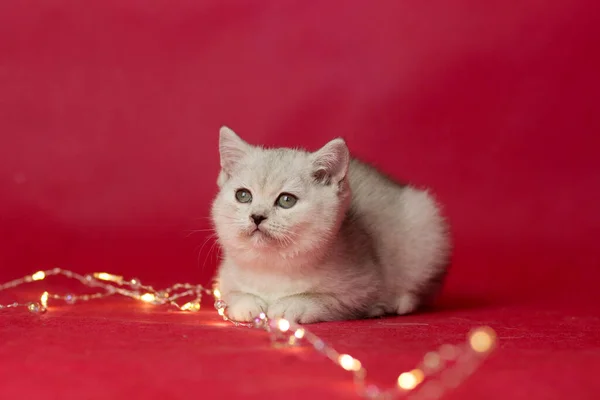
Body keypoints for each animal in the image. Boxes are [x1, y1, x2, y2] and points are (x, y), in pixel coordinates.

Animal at [211, 126, 450, 324]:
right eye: (243, 196)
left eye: (287, 200)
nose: (257, 217)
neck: (273, 266)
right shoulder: (225, 277)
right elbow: (232, 294)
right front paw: (246, 304)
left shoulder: (364, 285)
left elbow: (324, 299)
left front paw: (291, 305)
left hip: (426, 223)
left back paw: (399, 302)